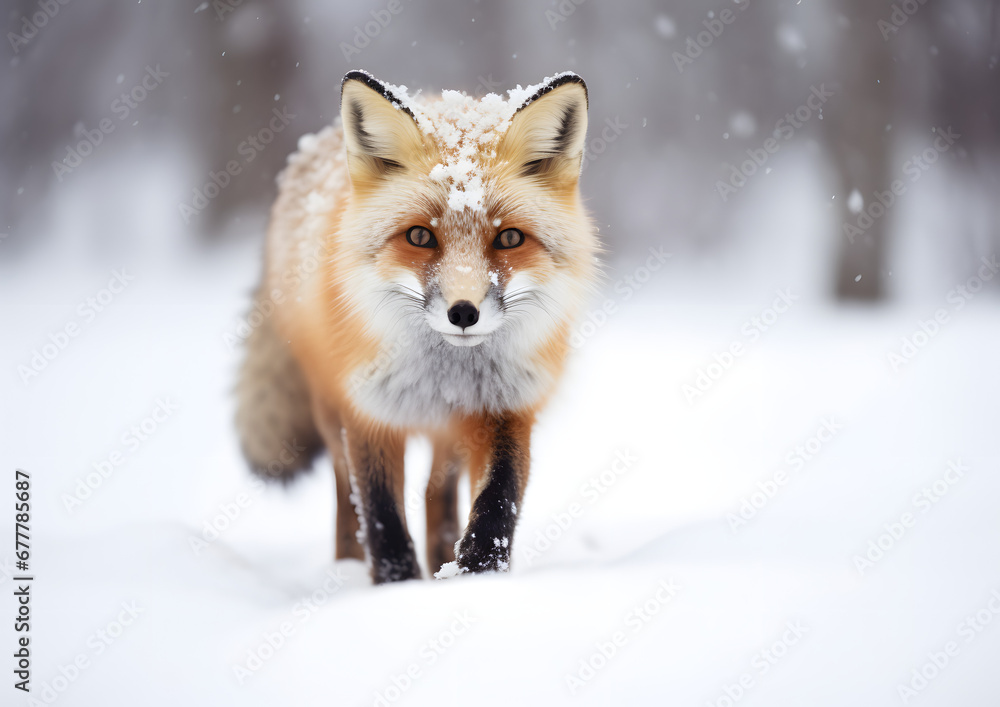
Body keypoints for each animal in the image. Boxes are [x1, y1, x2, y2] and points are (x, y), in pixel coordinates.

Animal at [235, 69, 599, 583]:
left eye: (509, 238)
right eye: (420, 236)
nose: (463, 312)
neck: (443, 373)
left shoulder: (508, 405)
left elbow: (498, 499)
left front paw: (478, 572)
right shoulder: (368, 407)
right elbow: (380, 511)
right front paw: (397, 586)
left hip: (453, 428)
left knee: (435, 493)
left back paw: (441, 553)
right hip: (327, 406)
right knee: (345, 494)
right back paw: (348, 565)